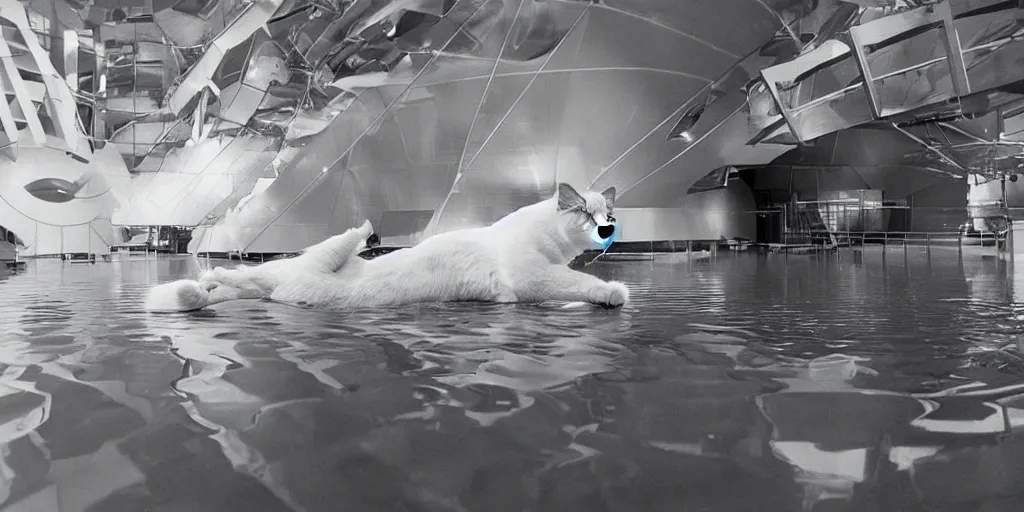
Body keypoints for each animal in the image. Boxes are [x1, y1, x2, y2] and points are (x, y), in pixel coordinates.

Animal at [143, 182, 622, 313]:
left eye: (608, 212)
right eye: (586, 212)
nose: (608, 228)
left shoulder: (533, 283)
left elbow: (574, 283)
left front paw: (609, 294)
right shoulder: (530, 274)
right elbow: (572, 280)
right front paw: (612, 292)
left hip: (292, 278)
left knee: (245, 283)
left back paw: (205, 286)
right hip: (323, 254)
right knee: (241, 275)